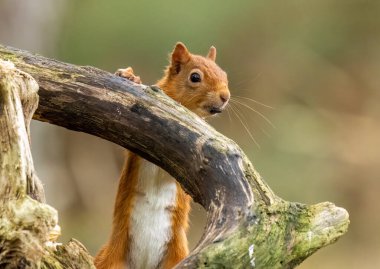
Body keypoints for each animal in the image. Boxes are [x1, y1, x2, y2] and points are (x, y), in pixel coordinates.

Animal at [95, 42, 230, 268]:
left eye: (225, 74)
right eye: (195, 77)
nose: (225, 96)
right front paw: (130, 76)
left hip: (177, 254)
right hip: (109, 259)